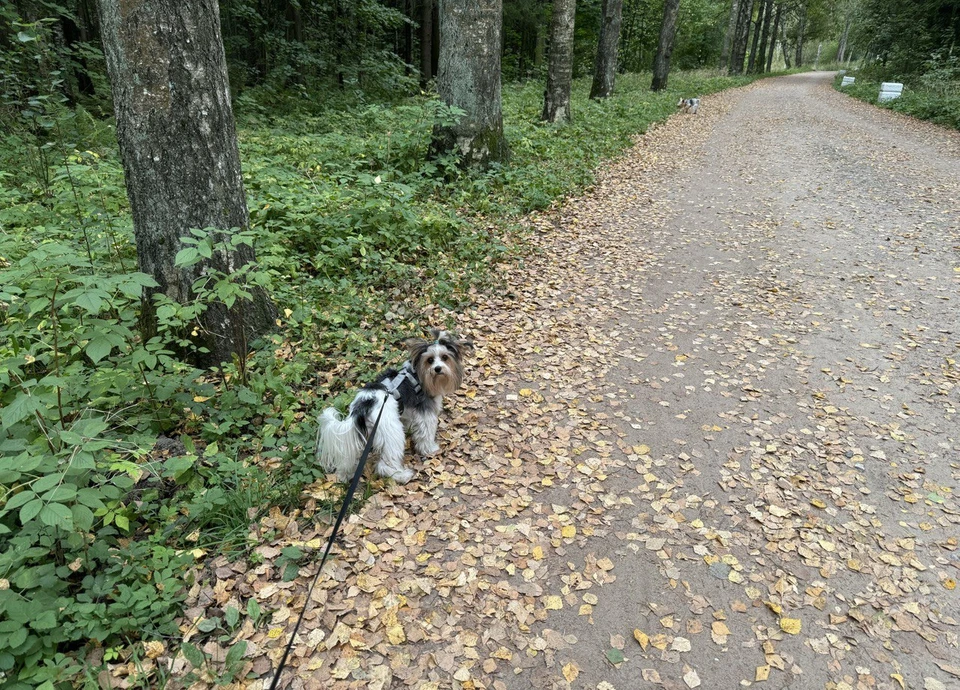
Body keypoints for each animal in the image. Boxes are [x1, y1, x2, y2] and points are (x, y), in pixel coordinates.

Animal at [316, 330, 472, 482]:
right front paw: (430, 449)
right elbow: (426, 432)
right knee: (385, 465)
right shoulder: (425, 412)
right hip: (391, 432)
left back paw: (345, 476)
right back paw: (402, 476)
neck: (418, 374)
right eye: (430, 360)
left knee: (347, 460)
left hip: (359, 434)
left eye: (445, 357)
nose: (438, 368)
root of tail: (365, 404)